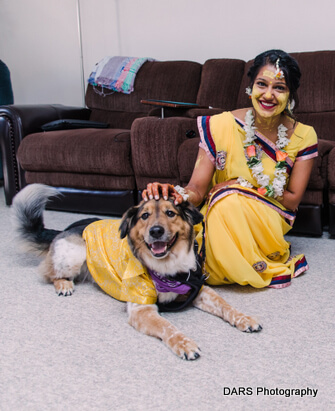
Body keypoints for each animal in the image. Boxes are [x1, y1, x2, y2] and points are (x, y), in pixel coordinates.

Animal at [11, 183, 262, 360]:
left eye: (171, 213)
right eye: (145, 216)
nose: (156, 231)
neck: (167, 268)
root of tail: (67, 227)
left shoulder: (198, 289)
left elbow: (225, 305)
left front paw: (245, 319)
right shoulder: (142, 309)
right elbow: (168, 327)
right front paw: (184, 344)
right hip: (74, 255)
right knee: (49, 273)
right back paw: (64, 284)